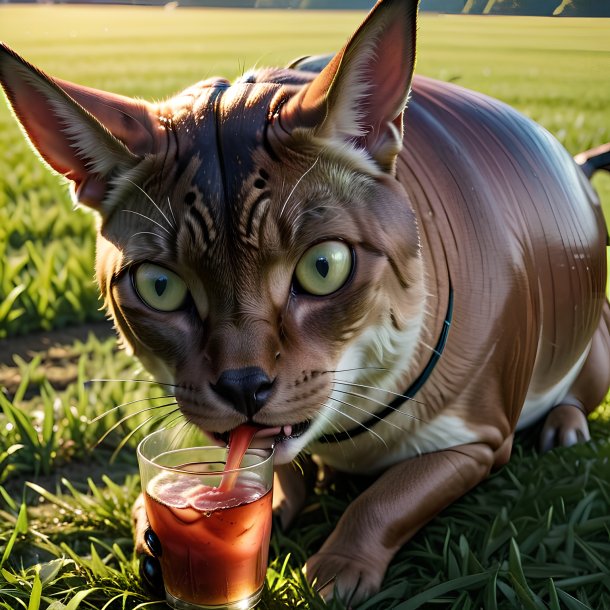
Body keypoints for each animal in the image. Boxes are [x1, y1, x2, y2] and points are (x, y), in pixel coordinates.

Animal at [1, 0, 608, 600]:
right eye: (159, 285)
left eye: (324, 267)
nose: (243, 386)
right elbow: (273, 466)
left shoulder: (480, 440)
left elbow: (389, 497)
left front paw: (339, 566)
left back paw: (566, 426)